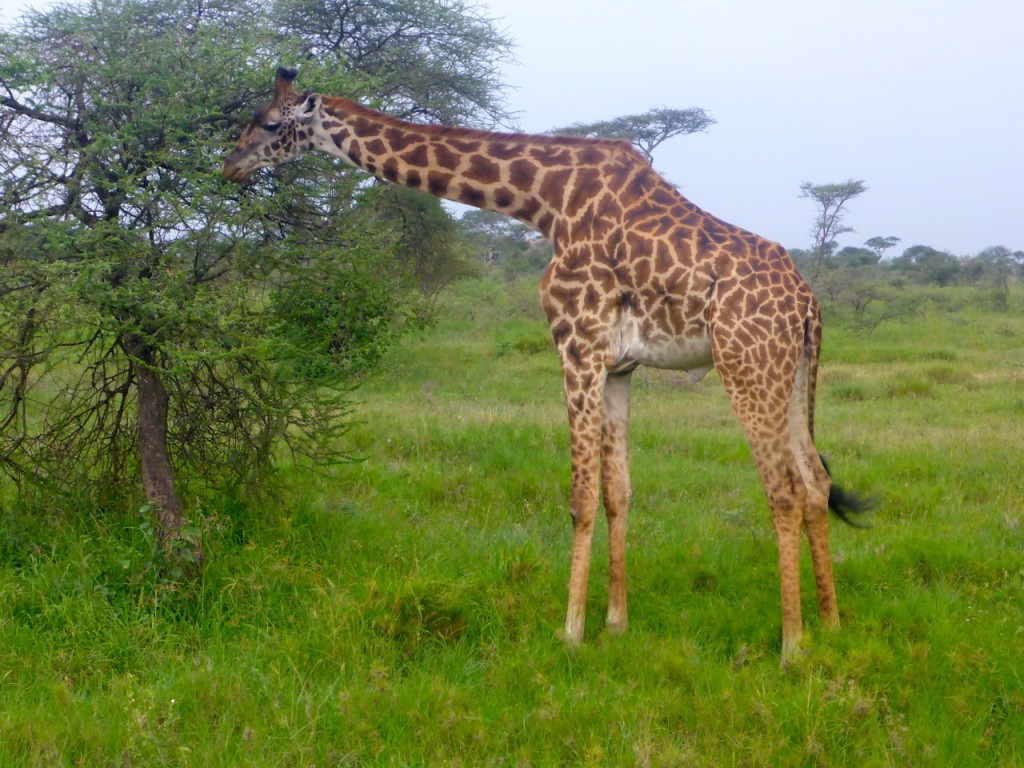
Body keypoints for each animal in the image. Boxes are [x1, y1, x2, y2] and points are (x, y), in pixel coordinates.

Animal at [224, 69, 872, 663]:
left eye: (273, 123)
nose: (229, 164)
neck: (545, 202)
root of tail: (808, 305)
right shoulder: (619, 365)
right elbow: (618, 492)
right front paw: (615, 624)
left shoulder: (576, 344)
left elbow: (580, 496)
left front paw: (570, 633)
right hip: (790, 373)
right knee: (815, 483)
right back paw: (832, 626)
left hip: (745, 365)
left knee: (783, 491)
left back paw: (792, 647)